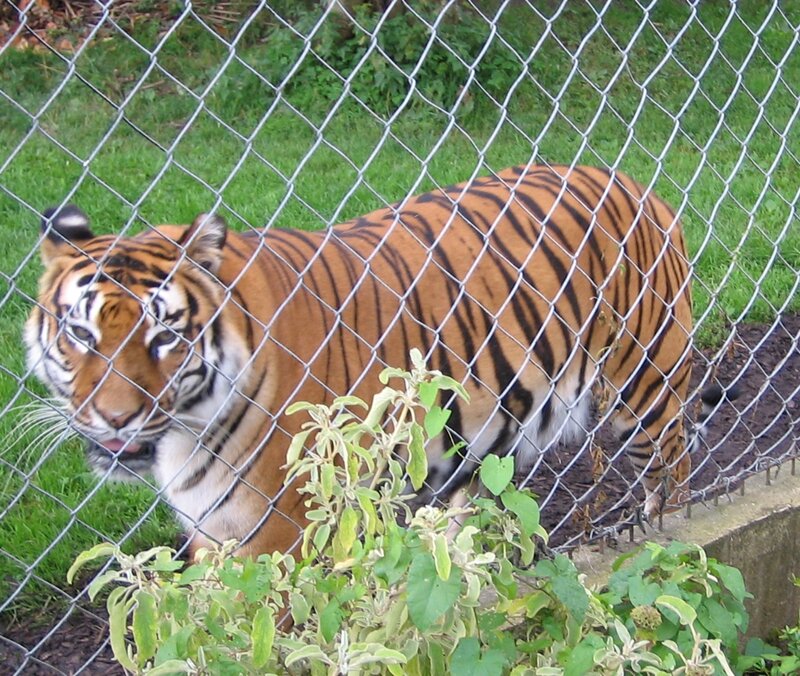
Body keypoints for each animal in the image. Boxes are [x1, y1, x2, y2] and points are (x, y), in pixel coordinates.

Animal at [25, 164, 725, 557]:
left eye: (164, 337)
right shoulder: (214, 531)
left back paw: (662, 535)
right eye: (81, 334)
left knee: (674, 470)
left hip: (644, 392)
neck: (187, 431)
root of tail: (639, 187)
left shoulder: (282, 533)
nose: (114, 418)